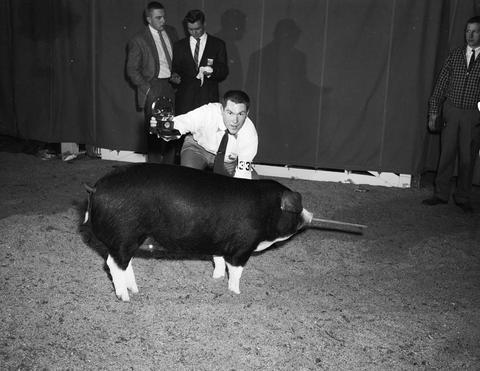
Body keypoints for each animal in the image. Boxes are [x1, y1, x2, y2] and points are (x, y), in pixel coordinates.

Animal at [84, 163, 314, 302]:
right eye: (298, 209)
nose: (310, 215)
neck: (266, 211)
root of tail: (95, 188)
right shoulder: (243, 246)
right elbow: (237, 271)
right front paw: (236, 292)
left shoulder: (221, 242)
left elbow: (219, 260)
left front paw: (217, 277)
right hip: (124, 236)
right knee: (113, 264)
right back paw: (125, 297)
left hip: (127, 241)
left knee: (123, 263)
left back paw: (134, 289)